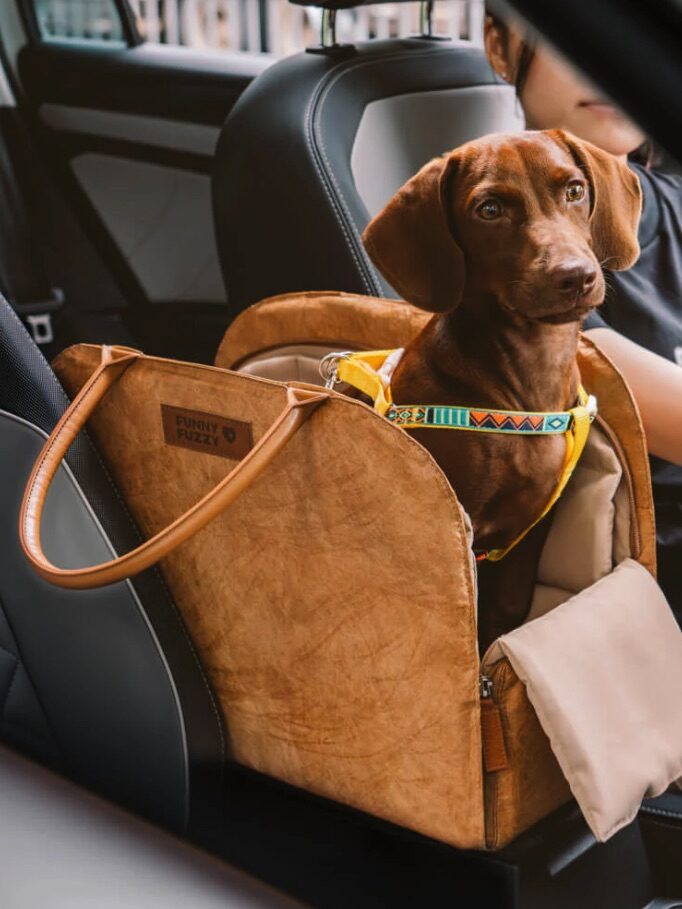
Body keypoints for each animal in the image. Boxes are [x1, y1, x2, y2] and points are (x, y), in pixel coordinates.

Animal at [362, 129, 636, 652]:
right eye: (489, 210)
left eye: (574, 190)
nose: (576, 276)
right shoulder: (460, 531)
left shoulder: (530, 532)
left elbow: (506, 612)